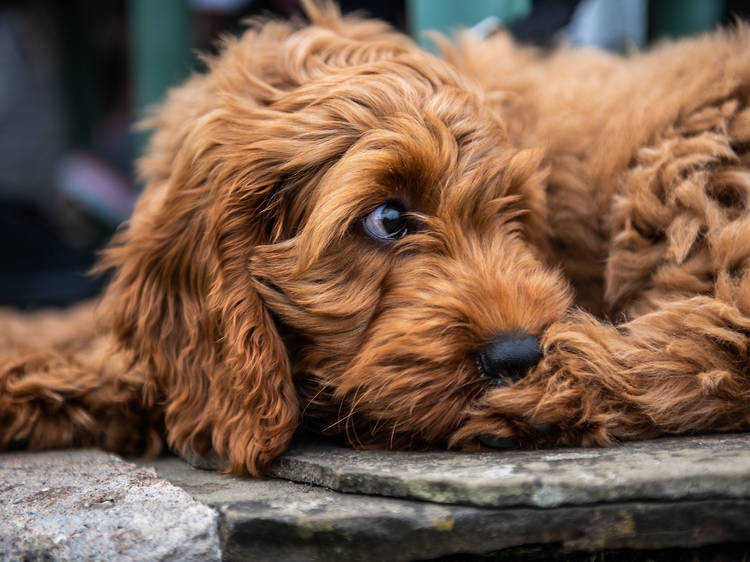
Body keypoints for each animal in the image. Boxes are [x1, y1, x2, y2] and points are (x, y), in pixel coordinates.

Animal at [1, 2, 750, 474]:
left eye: (510, 217)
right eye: (388, 219)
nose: (519, 355)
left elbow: (119, 368)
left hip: (682, 173)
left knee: (718, 343)